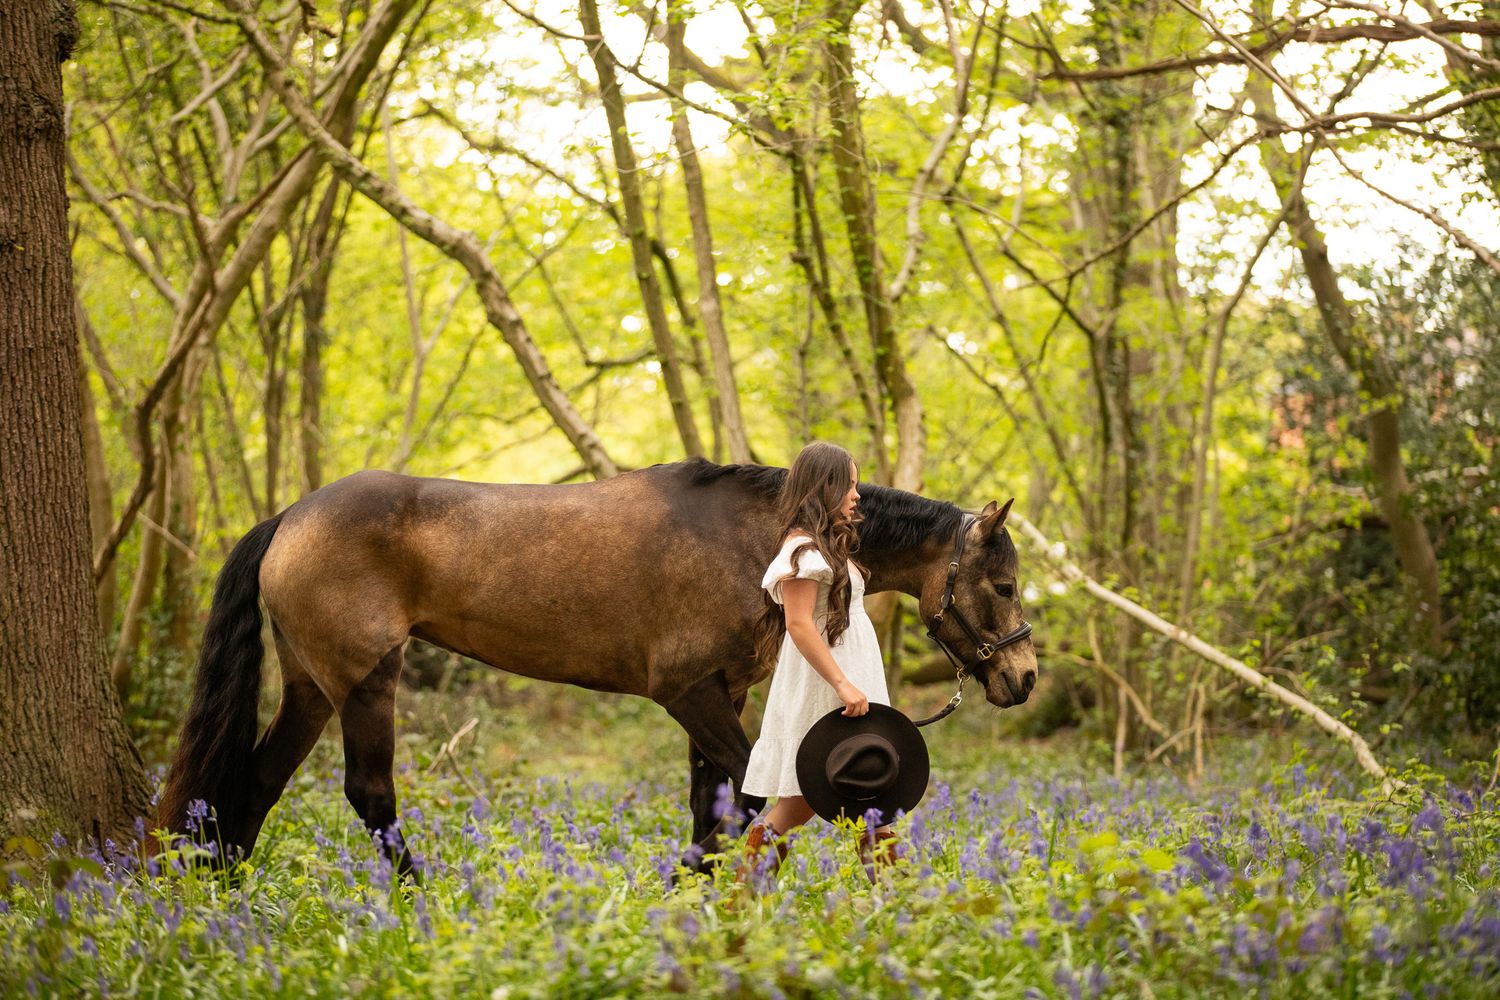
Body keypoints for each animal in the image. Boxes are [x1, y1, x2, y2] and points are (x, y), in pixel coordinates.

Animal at [155, 457, 1038, 879]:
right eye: (1003, 585)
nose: (1024, 677)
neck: (756, 536)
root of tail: (290, 517)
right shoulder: (688, 694)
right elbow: (750, 804)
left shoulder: (719, 696)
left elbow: (714, 812)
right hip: (367, 682)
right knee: (370, 797)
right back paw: (421, 898)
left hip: (311, 688)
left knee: (256, 784)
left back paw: (227, 894)